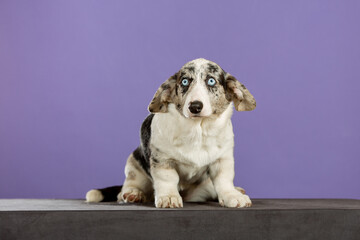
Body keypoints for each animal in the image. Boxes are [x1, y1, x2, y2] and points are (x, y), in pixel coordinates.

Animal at [86, 58, 256, 208]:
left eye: (211, 81)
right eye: (185, 82)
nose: (195, 106)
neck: (198, 130)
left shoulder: (223, 160)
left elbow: (224, 180)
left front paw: (233, 196)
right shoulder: (162, 160)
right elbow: (168, 179)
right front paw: (169, 197)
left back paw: (237, 190)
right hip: (133, 164)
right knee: (127, 187)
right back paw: (133, 194)